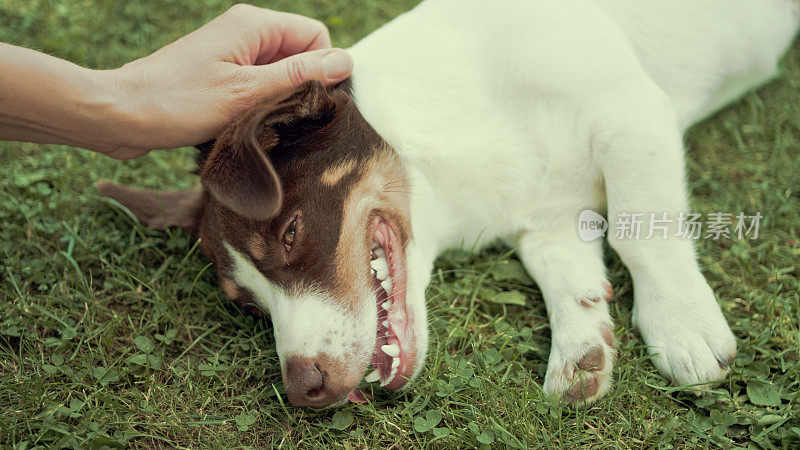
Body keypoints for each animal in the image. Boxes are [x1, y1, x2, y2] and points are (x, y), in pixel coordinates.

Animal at [97, 0, 796, 408]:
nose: (305, 392)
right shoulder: (547, 217)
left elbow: (639, 231)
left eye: (291, 234)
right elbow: (567, 275)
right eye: (244, 304)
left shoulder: (630, 113)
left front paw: (681, 326)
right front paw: (582, 352)